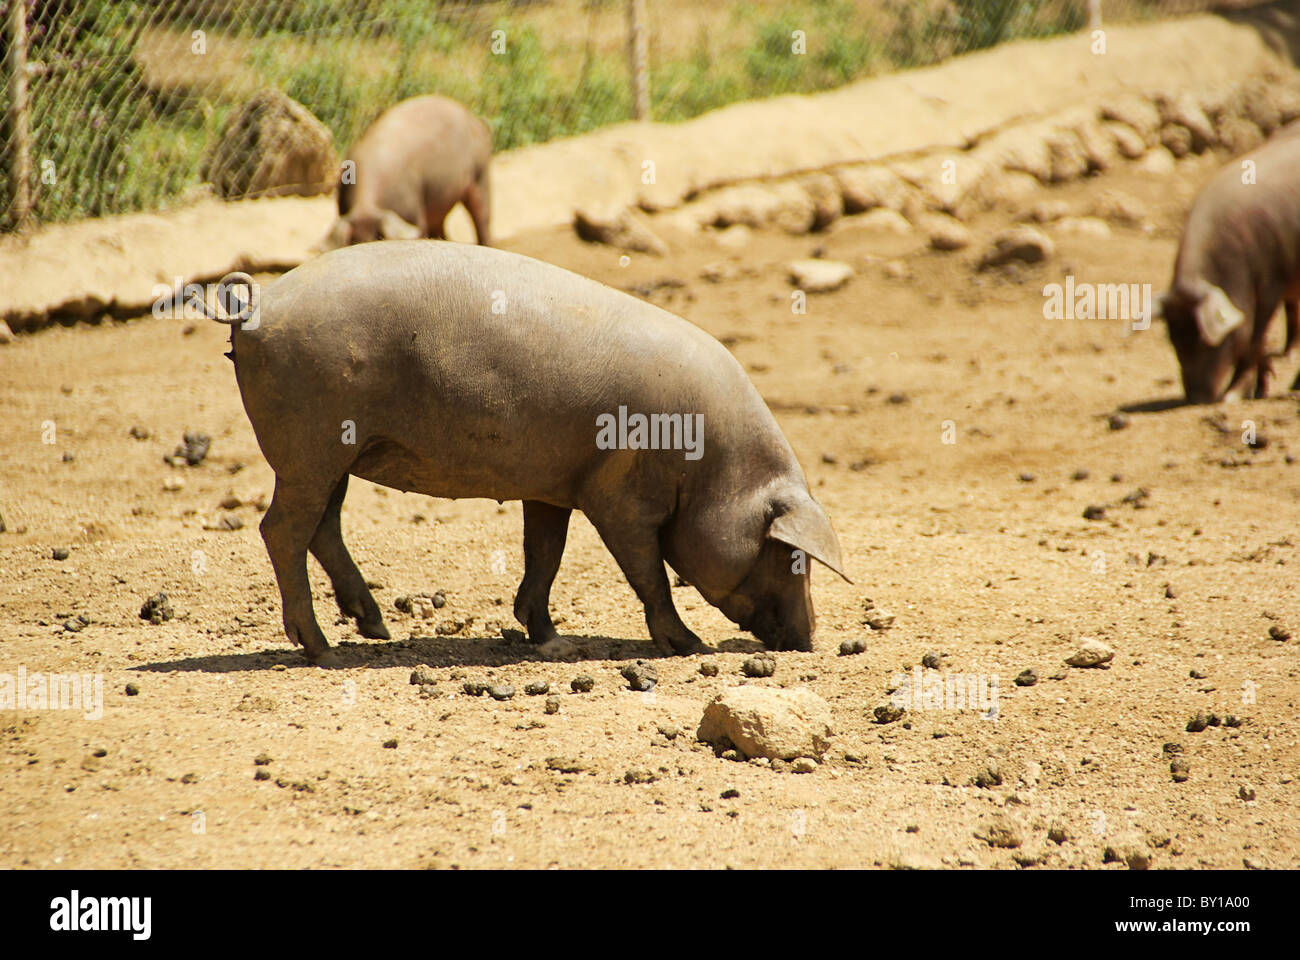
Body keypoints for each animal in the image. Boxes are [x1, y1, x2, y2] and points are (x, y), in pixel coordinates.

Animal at [224, 239, 852, 660]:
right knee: (281, 529)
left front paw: (552, 641)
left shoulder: (555, 486)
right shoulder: (617, 496)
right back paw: (322, 650)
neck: (712, 468)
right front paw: (689, 645)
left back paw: (376, 628)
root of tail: (258, 306)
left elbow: (545, 554)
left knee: (323, 528)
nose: (810, 639)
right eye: (791, 556)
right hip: (310, 444)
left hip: (338, 453)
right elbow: (646, 572)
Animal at [325, 95, 491, 247]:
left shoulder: (413, 211)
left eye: (380, 238)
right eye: (354, 242)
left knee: (482, 217)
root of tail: (473, 118)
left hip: (480, 173)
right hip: (441, 200)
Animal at [1149, 123, 1300, 400]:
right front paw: (1259, 389)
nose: (1196, 398)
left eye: (1207, 340)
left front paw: (1233, 397)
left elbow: (1253, 337)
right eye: (1174, 339)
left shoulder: (1271, 283)